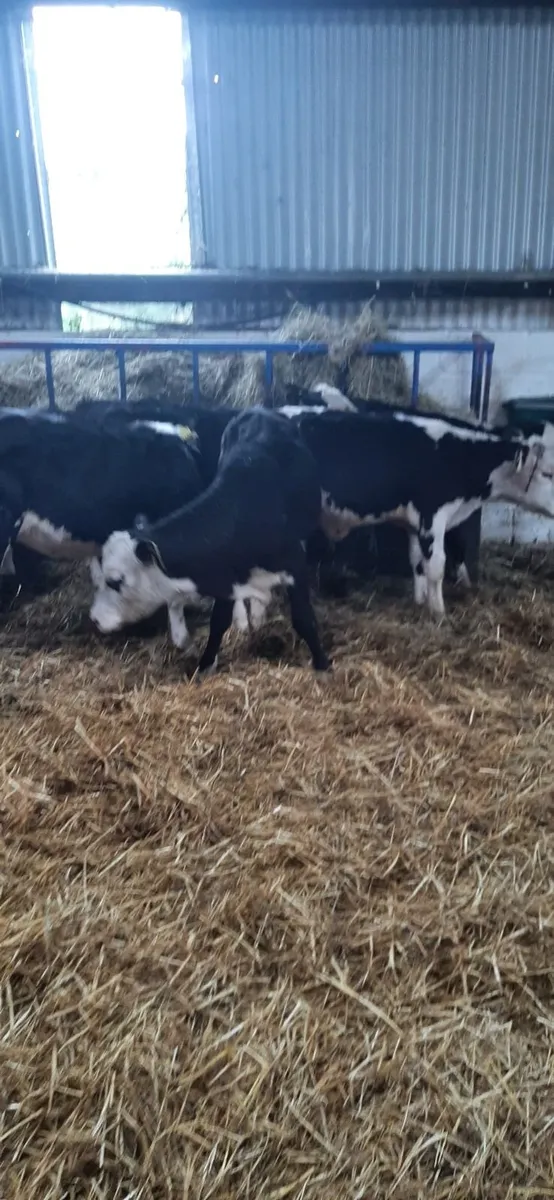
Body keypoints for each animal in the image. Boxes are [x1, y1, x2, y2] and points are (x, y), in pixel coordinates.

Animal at [89, 407, 330, 674]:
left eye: (115, 581)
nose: (95, 618)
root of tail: (257, 409)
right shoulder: (224, 575)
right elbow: (218, 622)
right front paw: (205, 665)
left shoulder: (294, 566)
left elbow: (304, 619)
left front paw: (322, 665)